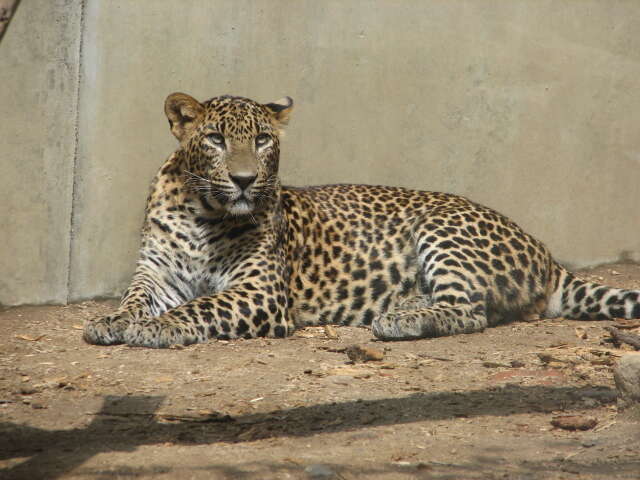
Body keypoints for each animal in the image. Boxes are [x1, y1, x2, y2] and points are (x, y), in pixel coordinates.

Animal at [82, 93, 640, 348]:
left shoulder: (260, 292)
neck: (202, 212)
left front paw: (159, 327)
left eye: (262, 140)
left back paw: (403, 318)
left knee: (470, 311)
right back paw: (403, 303)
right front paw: (112, 320)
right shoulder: (157, 274)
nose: (243, 180)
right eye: (216, 139)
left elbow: (201, 306)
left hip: (443, 229)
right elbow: (135, 299)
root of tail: (545, 252)